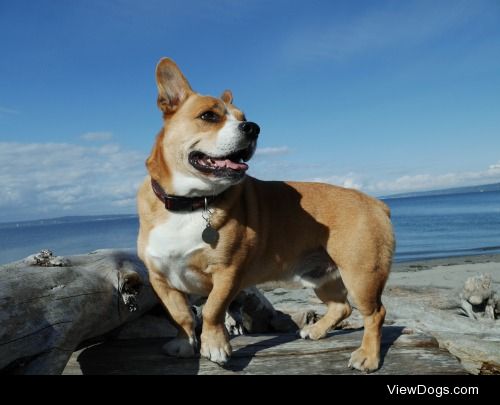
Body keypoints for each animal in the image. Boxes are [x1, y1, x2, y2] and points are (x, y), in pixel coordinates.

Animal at [137, 57, 394, 372]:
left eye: (243, 117)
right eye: (209, 116)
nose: (253, 128)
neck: (192, 202)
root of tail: (376, 203)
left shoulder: (227, 274)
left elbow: (211, 311)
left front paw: (215, 345)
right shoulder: (160, 278)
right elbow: (181, 315)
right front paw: (184, 344)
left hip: (361, 277)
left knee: (375, 313)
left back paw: (368, 356)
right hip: (321, 278)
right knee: (341, 306)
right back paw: (316, 330)